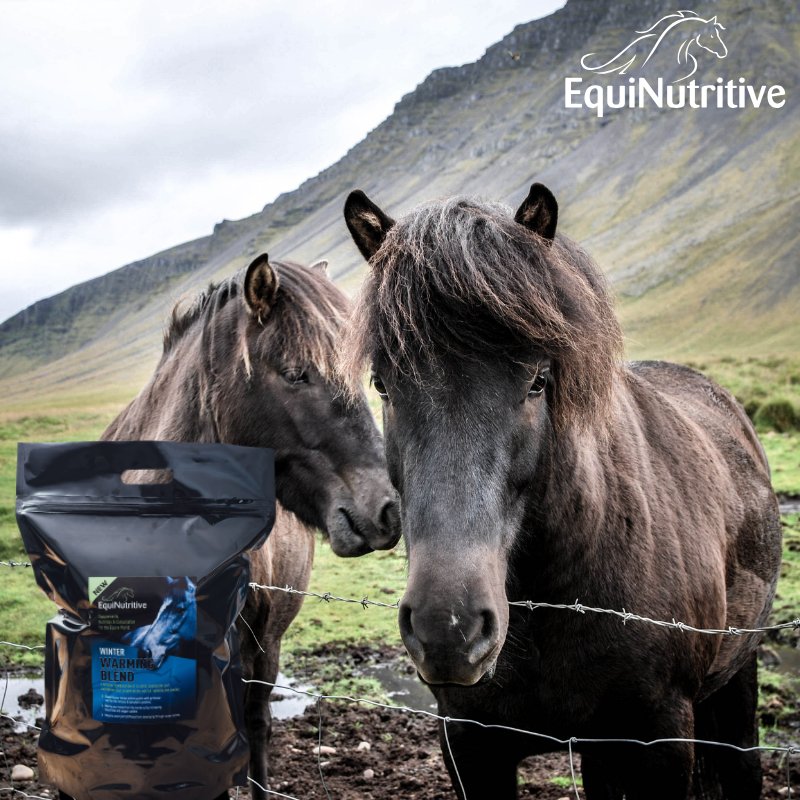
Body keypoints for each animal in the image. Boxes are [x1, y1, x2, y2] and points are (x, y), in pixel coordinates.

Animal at [342, 184, 782, 799]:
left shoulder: (663, 740)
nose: (448, 628)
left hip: (738, 679)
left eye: (537, 380)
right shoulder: (470, 745)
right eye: (383, 383)